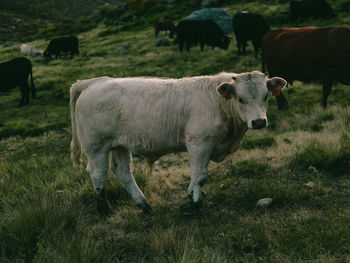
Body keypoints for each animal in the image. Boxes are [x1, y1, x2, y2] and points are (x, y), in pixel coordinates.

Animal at [69, 71, 286, 216]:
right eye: (240, 99)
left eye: (266, 96)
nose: (259, 122)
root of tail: (94, 82)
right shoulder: (199, 143)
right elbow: (199, 176)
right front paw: (195, 203)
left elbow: (196, 177)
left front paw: (193, 195)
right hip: (96, 146)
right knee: (98, 173)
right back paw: (103, 209)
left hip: (120, 145)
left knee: (122, 171)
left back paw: (144, 205)